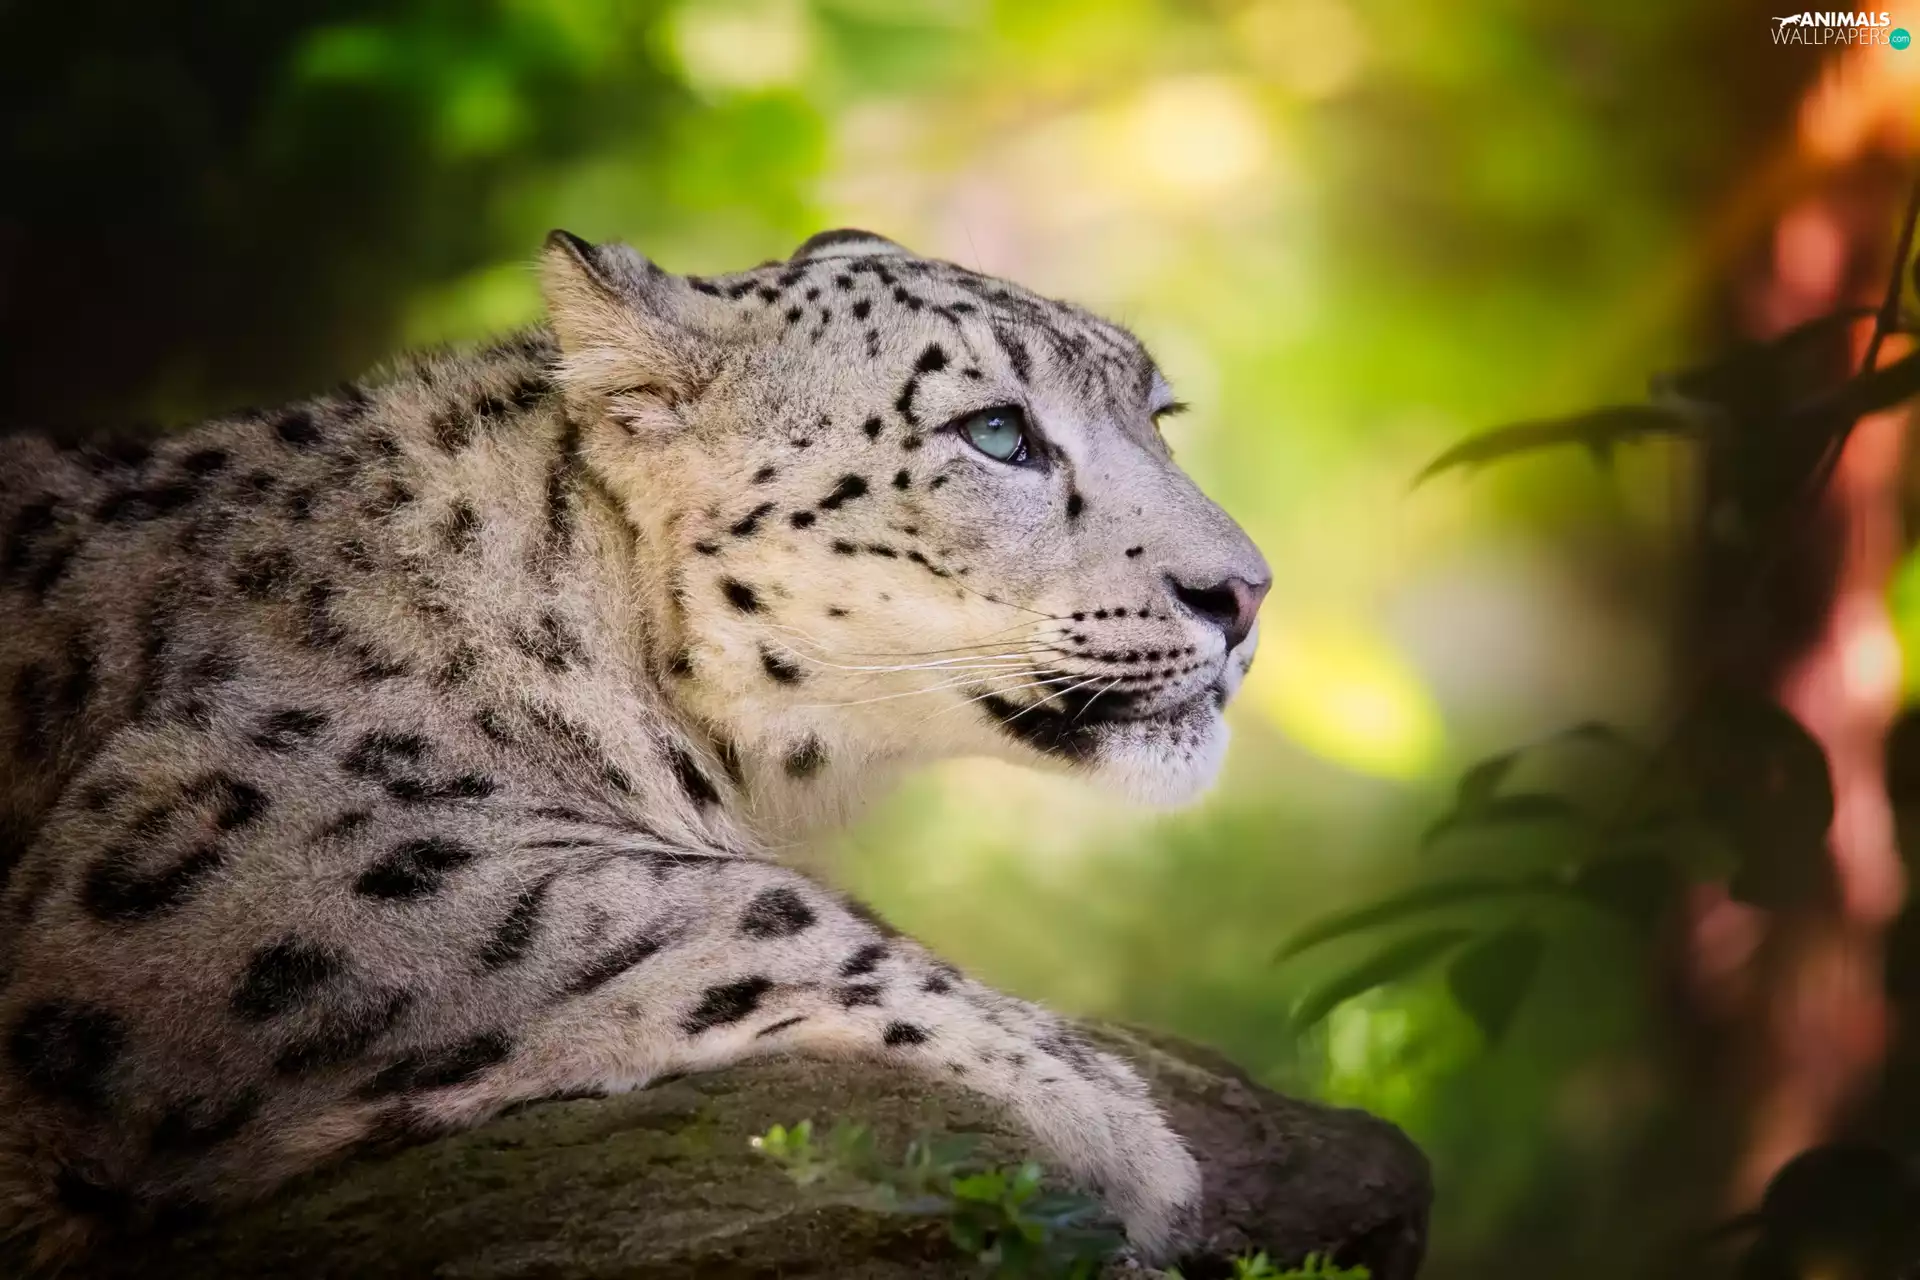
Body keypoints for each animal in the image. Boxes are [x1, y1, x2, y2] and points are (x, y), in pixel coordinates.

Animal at [0, 226, 1270, 1269]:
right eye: (997, 431)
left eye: (1159, 418)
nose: (1245, 592)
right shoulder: (261, 858)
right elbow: (733, 899)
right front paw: (1103, 1109)